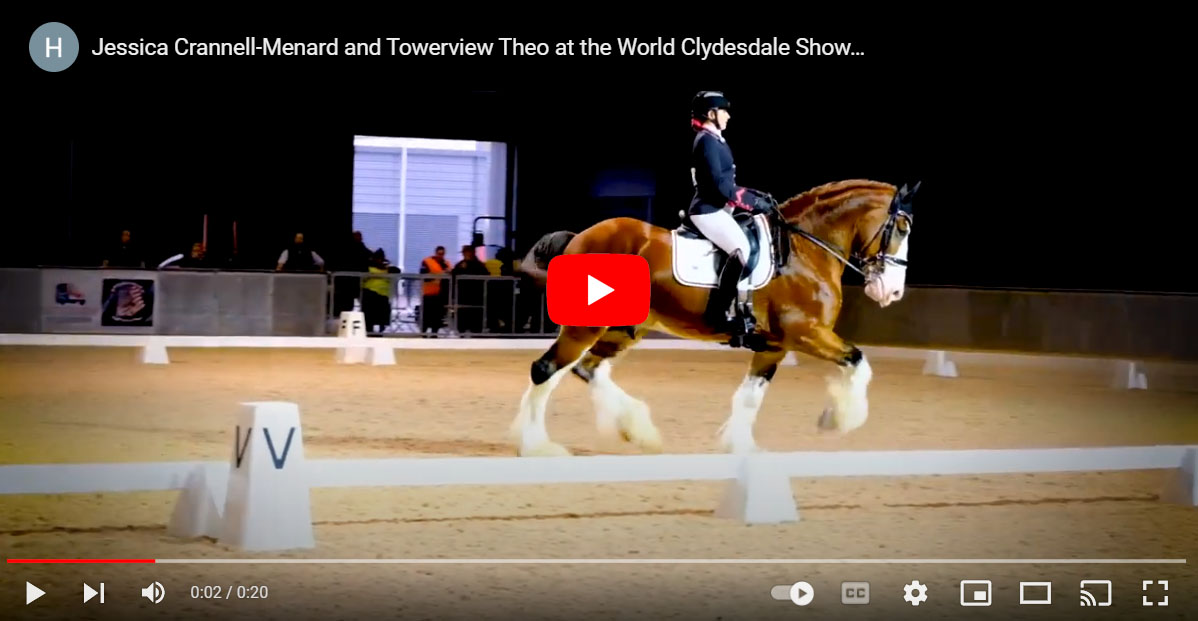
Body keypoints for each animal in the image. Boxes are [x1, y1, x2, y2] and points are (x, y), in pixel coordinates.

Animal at [507, 178, 915, 457]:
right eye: (902, 228)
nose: (892, 293)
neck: (805, 251)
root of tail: (580, 237)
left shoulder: (774, 346)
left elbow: (750, 398)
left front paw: (742, 447)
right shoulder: (806, 333)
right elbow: (859, 361)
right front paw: (838, 419)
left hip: (625, 329)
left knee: (585, 369)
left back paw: (638, 430)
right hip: (586, 326)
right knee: (546, 370)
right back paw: (538, 446)